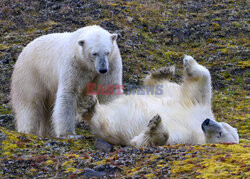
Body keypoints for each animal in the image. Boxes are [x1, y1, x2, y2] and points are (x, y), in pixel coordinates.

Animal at [83, 55, 238, 147]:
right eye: (222, 124)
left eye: (220, 134)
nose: (206, 122)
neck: (197, 130)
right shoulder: (198, 109)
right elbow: (200, 87)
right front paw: (189, 62)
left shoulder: (186, 139)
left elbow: (147, 141)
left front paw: (154, 125)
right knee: (161, 86)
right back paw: (163, 73)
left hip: (110, 128)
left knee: (103, 121)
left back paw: (90, 106)